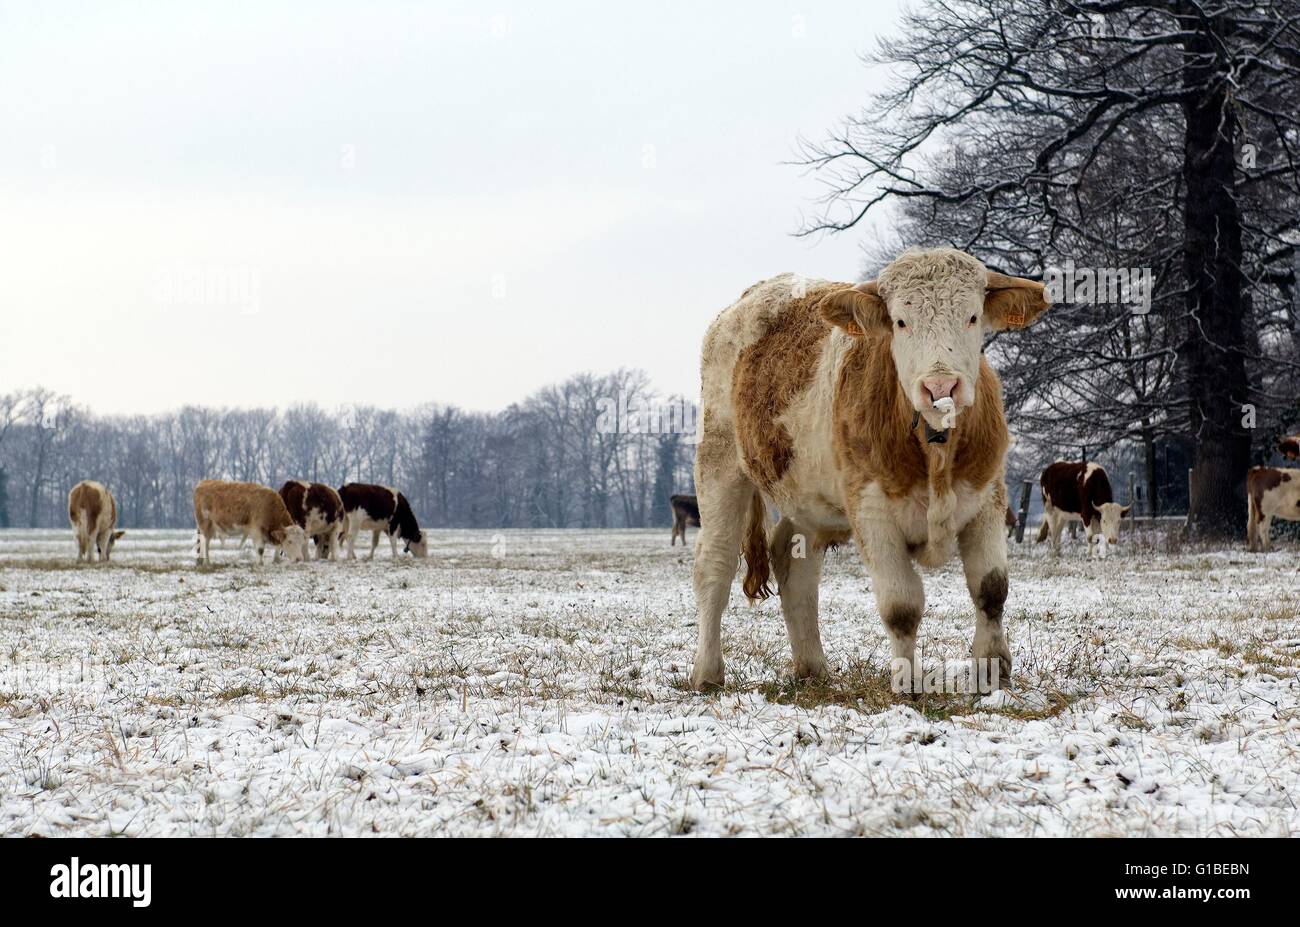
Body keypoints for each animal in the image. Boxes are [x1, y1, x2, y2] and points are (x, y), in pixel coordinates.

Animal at [686, 249, 1050, 691]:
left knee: (793, 564)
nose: (940, 388)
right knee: (715, 564)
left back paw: (812, 668)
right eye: (900, 321)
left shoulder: (989, 498)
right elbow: (901, 605)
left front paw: (992, 672)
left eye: (973, 316)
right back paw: (708, 672)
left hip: (807, 497)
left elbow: (991, 588)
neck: (934, 451)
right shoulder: (871, 509)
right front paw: (908, 683)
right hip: (719, 462)